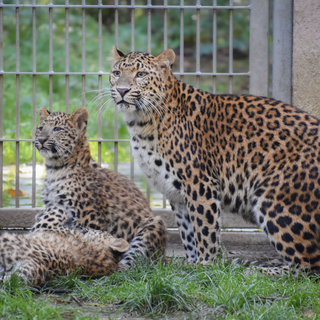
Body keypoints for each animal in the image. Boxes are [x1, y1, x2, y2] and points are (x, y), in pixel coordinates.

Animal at [109, 46, 320, 274]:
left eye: (141, 74)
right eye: (116, 73)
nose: (122, 90)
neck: (140, 122)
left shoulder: (200, 183)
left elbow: (204, 229)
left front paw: (206, 265)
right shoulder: (176, 193)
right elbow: (188, 232)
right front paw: (192, 265)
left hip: (276, 199)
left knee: (307, 265)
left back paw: (255, 271)